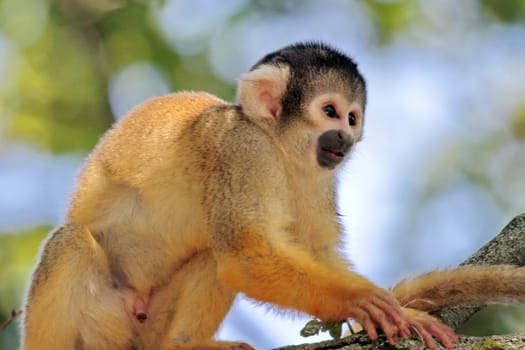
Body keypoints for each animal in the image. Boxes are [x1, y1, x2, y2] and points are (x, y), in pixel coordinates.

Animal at [20, 43, 524, 350]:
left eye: (353, 117)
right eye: (329, 111)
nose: (345, 138)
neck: (279, 147)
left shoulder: (319, 176)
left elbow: (310, 250)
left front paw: (392, 307)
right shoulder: (242, 151)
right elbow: (248, 254)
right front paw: (361, 300)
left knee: (212, 250)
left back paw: (181, 345)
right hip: (105, 320)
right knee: (71, 243)